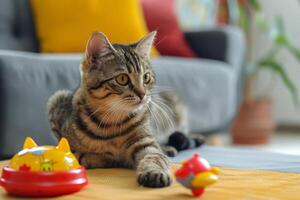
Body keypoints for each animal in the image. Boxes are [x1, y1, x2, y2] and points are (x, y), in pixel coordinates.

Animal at [48, 31, 204, 188]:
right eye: (122, 79)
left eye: (146, 77)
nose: (143, 94)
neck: (112, 123)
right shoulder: (65, 144)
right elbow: (79, 155)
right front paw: (104, 158)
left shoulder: (145, 143)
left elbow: (155, 156)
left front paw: (154, 172)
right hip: (56, 98)